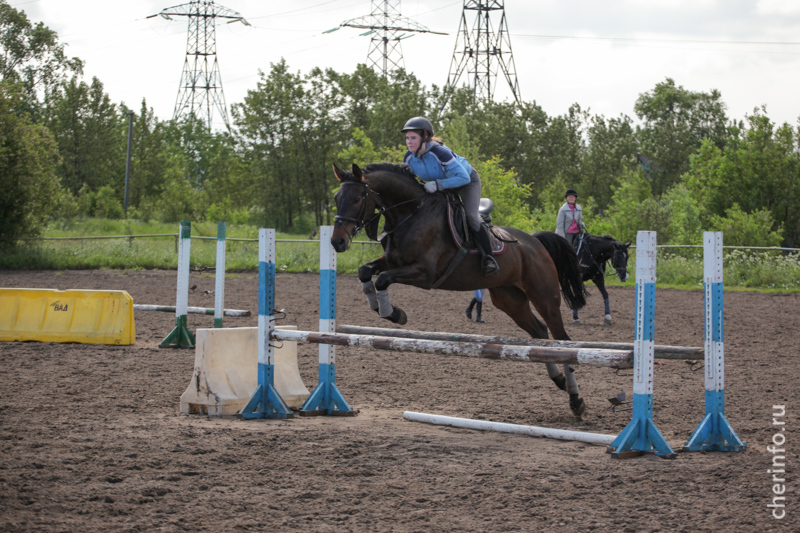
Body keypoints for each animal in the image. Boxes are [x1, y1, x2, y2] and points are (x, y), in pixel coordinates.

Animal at [330, 162, 588, 416]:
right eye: (336, 198)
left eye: (357, 198)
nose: (337, 242)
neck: (411, 213)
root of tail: (535, 242)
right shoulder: (392, 262)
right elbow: (365, 271)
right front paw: (380, 307)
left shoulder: (425, 274)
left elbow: (382, 279)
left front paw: (394, 314)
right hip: (509, 300)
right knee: (540, 333)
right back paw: (559, 381)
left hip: (545, 297)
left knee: (562, 341)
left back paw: (576, 400)